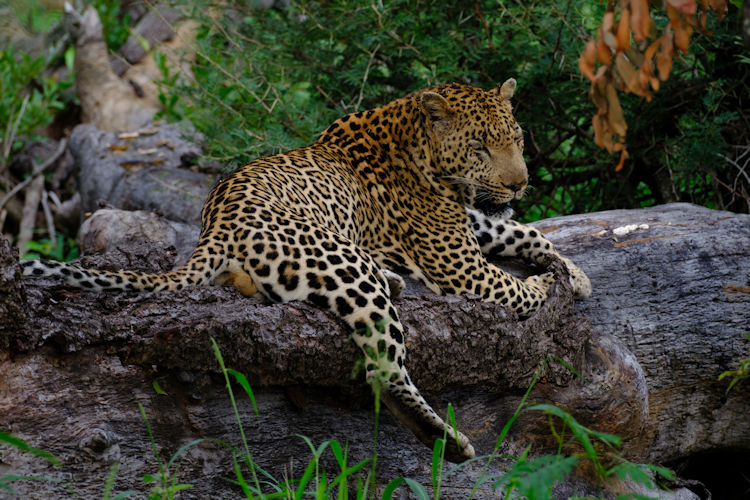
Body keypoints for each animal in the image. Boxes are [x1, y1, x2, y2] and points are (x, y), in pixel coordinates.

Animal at [22, 79, 591, 462]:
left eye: (516, 138)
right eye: (480, 146)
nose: (520, 183)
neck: (418, 146)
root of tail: (216, 226)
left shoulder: (476, 226)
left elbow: (527, 231)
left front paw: (574, 272)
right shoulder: (459, 262)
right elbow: (514, 287)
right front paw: (548, 283)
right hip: (344, 265)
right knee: (383, 369)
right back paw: (444, 441)